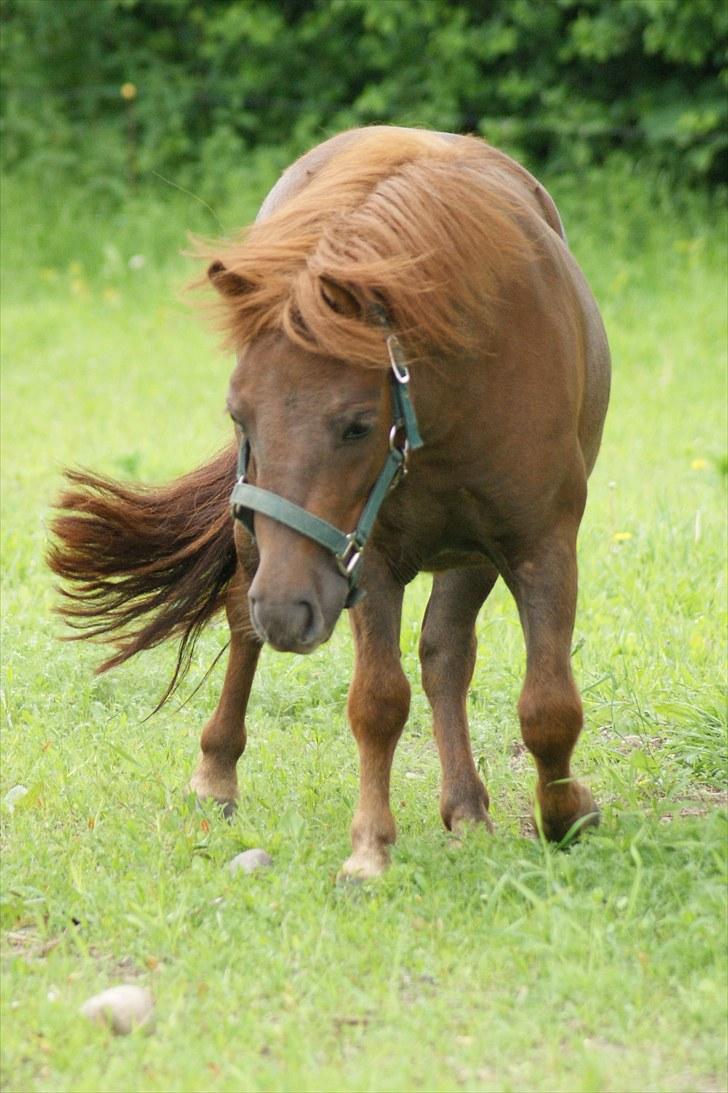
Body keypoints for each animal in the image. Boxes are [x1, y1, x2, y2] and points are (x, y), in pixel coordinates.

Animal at [49, 127, 607, 878]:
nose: (290, 608)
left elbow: (548, 706)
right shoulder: (364, 558)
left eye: (356, 426)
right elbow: (377, 701)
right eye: (239, 416)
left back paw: (466, 807)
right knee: (242, 624)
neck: (452, 391)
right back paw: (216, 774)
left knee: (446, 653)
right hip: (264, 549)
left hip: (464, 558)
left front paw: (565, 813)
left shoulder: (538, 545)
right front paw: (370, 848)